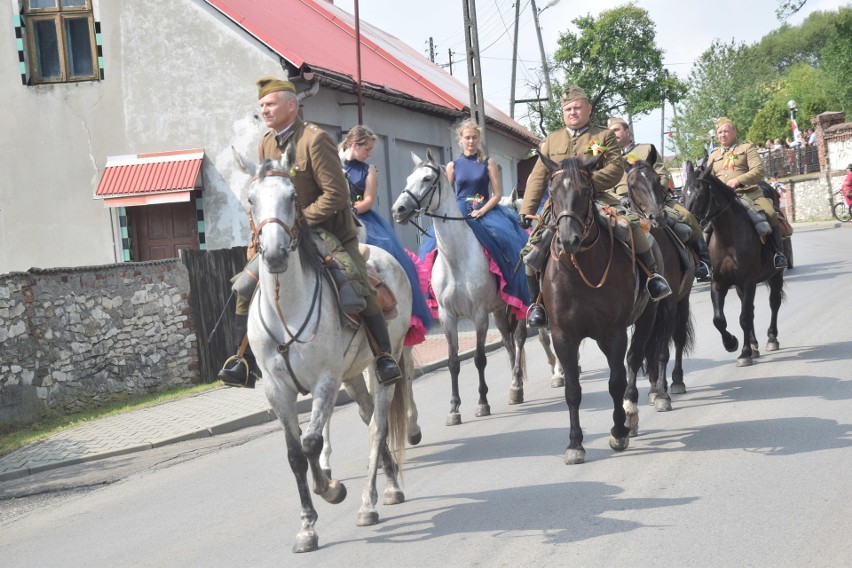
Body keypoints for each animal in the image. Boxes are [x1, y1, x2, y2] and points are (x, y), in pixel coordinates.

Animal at [236, 153, 416, 552]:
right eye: (251, 200)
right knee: (368, 417)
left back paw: (370, 502)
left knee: (378, 426)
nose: (274, 255)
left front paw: (332, 490)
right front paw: (306, 527)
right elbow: (294, 454)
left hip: (383, 365)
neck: (285, 307)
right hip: (352, 376)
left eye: (291, 197)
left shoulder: (325, 381)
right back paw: (390, 484)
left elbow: (311, 441)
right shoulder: (277, 390)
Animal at [392, 151, 524, 426]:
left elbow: (479, 358)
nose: (398, 209)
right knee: (508, 341)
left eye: (427, 178)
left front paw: (482, 403)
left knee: (518, 339)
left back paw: (517, 385)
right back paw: (515, 385)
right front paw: (454, 409)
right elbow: (454, 361)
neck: (456, 259)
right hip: (499, 310)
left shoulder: (479, 314)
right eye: (409, 178)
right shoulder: (447, 316)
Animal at [540, 153, 660, 464]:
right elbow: (572, 390)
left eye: (585, 191)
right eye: (552, 192)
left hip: (646, 318)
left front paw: (618, 432)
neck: (579, 269)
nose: (568, 240)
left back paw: (631, 415)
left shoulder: (613, 333)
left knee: (634, 360)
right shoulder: (563, 336)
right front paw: (575, 444)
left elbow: (616, 382)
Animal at [680, 162, 784, 366]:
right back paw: (754, 344)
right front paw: (731, 343)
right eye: (683, 193)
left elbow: (744, 317)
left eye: (700, 191)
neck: (728, 239)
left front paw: (744, 353)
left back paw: (771, 338)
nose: (688, 222)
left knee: (773, 303)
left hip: (776, 275)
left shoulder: (749, 281)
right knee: (750, 308)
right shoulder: (719, 283)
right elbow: (719, 319)